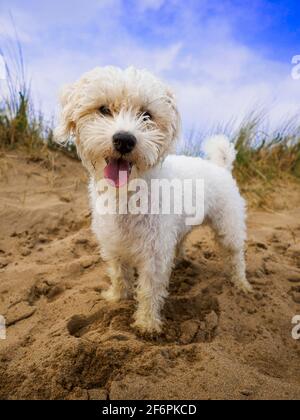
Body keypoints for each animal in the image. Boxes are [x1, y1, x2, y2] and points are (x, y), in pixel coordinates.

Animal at [55, 65, 252, 334]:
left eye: (146, 116)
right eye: (104, 109)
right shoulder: (114, 246)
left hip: (228, 228)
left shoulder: (155, 255)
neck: (127, 195)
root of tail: (220, 165)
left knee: (236, 256)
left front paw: (147, 324)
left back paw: (241, 284)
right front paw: (117, 298)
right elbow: (119, 275)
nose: (124, 140)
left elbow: (149, 290)